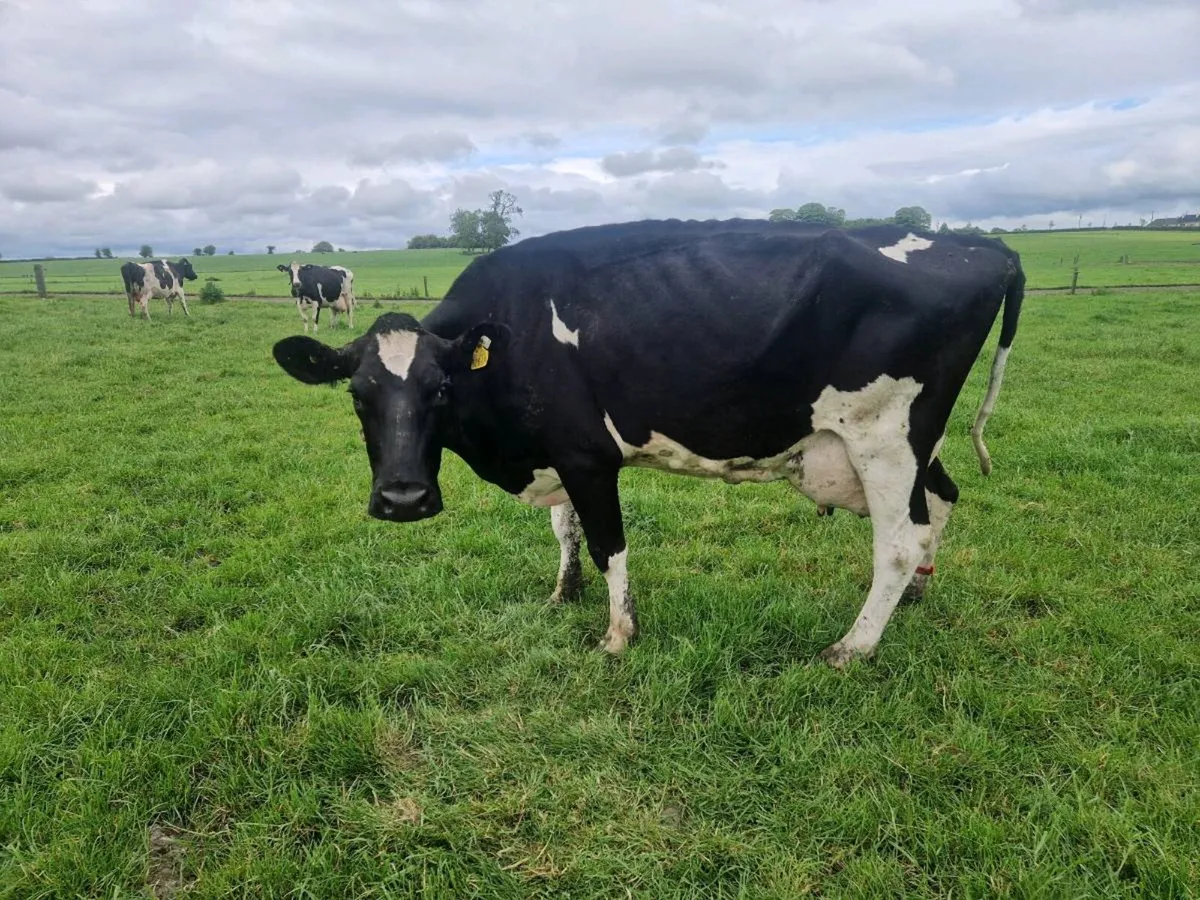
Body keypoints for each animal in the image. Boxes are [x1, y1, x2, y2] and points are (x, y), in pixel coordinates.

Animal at [271, 218, 1025, 668]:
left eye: (439, 390)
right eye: (358, 395)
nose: (403, 498)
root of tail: (982, 244)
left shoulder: (587, 455)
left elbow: (610, 546)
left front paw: (617, 636)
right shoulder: (558, 450)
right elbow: (566, 530)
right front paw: (563, 591)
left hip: (885, 436)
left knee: (899, 540)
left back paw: (854, 645)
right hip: (915, 441)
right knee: (941, 502)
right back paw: (918, 595)